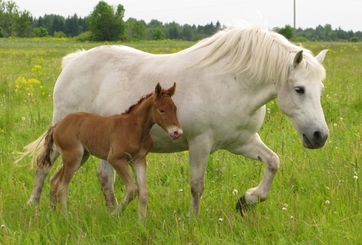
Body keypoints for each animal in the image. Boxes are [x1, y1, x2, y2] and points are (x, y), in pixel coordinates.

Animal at [21, 25, 330, 215]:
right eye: (299, 89)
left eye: (320, 89)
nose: (320, 136)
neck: (232, 82)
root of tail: (74, 61)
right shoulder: (200, 144)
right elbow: (197, 185)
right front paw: (193, 220)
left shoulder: (241, 141)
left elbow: (273, 162)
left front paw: (247, 200)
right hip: (65, 138)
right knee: (44, 166)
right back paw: (33, 206)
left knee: (104, 177)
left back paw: (112, 212)